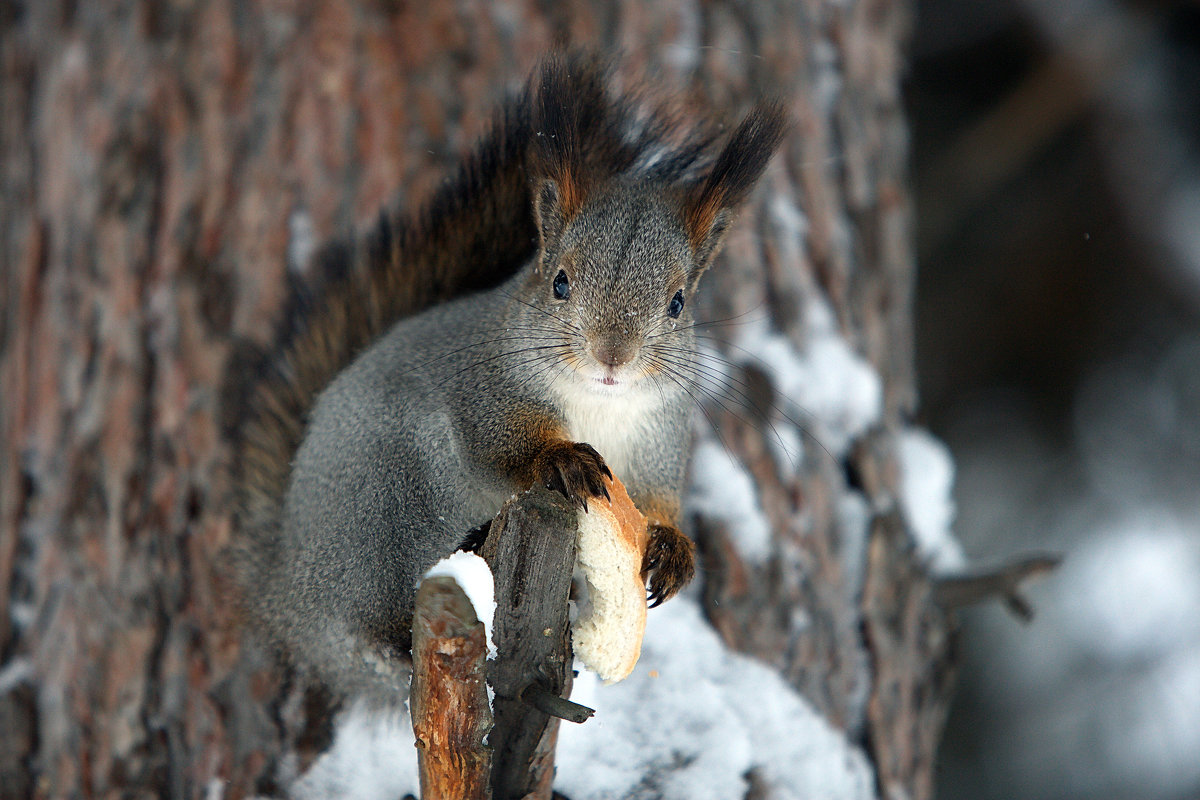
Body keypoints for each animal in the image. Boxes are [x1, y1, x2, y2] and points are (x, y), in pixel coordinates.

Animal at [225, 54, 787, 700]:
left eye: (677, 303)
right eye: (560, 281)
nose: (612, 357)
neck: (597, 405)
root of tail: (287, 591)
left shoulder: (658, 439)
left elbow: (655, 501)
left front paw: (673, 548)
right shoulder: (486, 390)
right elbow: (501, 447)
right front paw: (561, 458)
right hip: (380, 502)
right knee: (369, 623)